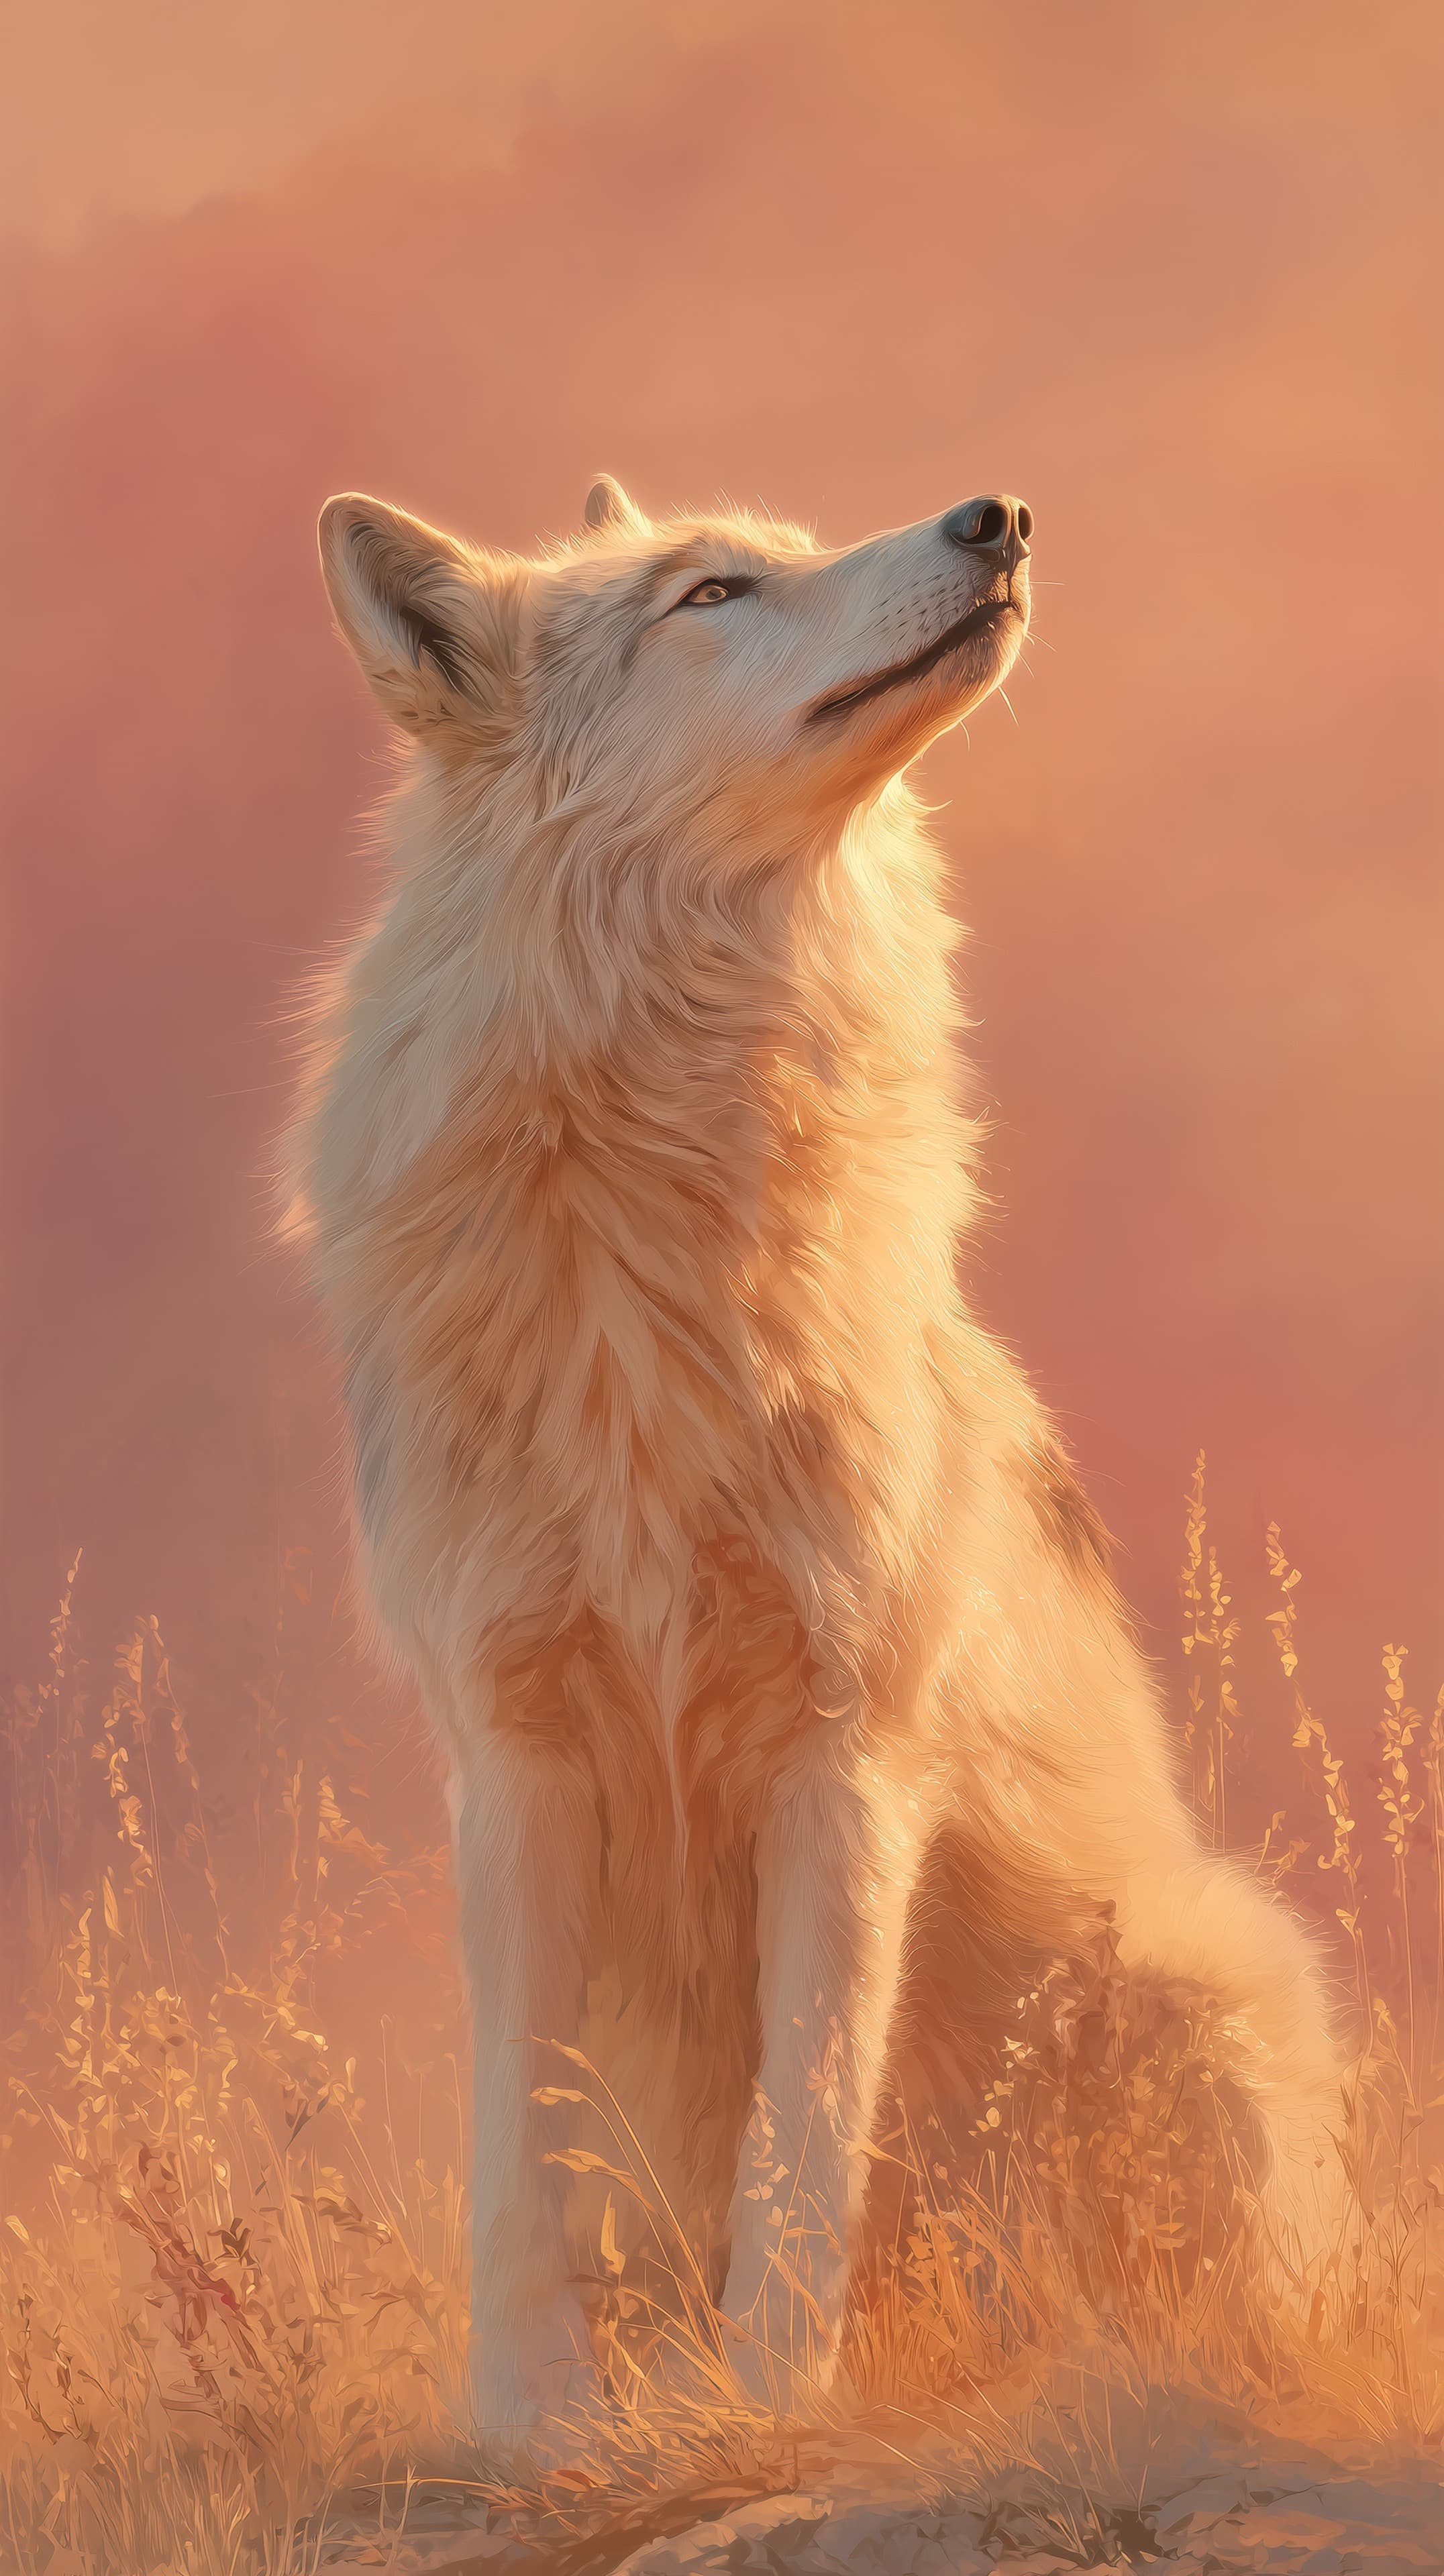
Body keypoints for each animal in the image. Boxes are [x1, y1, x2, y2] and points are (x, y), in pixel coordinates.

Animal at [284, 470, 1343, 2447]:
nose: (999, 512)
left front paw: (767, 2402)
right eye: (712, 592)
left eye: (777, 551)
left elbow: (803, 2138)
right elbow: (513, 2153)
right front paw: (535, 2425)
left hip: (1191, 1978)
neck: (659, 1169)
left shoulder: (845, 1761)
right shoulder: (514, 1761)